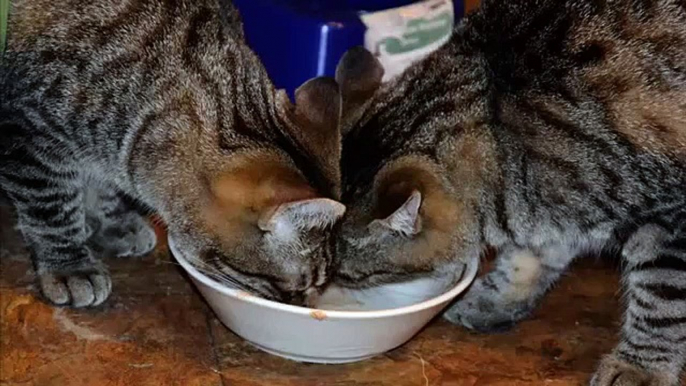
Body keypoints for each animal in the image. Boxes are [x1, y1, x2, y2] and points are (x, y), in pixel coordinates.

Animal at [0, 0, 346, 308]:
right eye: (301, 286)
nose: (304, 305)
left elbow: (104, 187)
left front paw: (112, 220)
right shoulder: (26, 133)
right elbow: (51, 207)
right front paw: (70, 265)